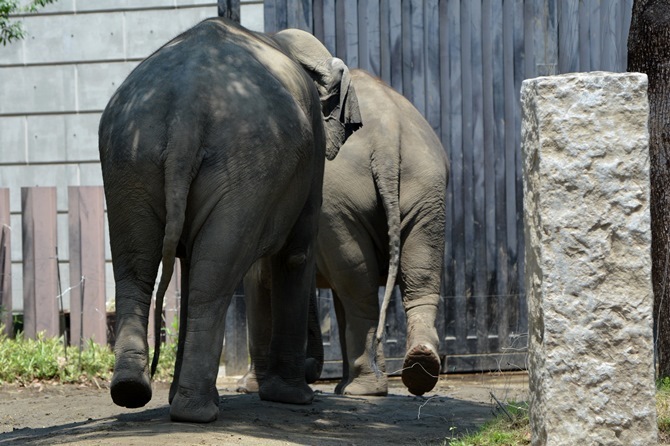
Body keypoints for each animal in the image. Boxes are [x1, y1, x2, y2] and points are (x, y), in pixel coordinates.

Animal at [98, 17, 362, 422]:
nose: (312, 373)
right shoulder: (313, 153)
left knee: (140, 272)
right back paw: (198, 412)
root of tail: (188, 106)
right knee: (214, 279)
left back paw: (134, 391)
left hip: (129, 155)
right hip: (245, 162)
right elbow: (295, 255)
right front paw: (294, 398)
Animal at [242, 63, 452, 398]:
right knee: (408, 276)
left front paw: (247, 388)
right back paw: (415, 369)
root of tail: (388, 135)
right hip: (425, 184)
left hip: (341, 198)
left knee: (356, 286)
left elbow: (258, 280)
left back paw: (361, 389)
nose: (310, 370)